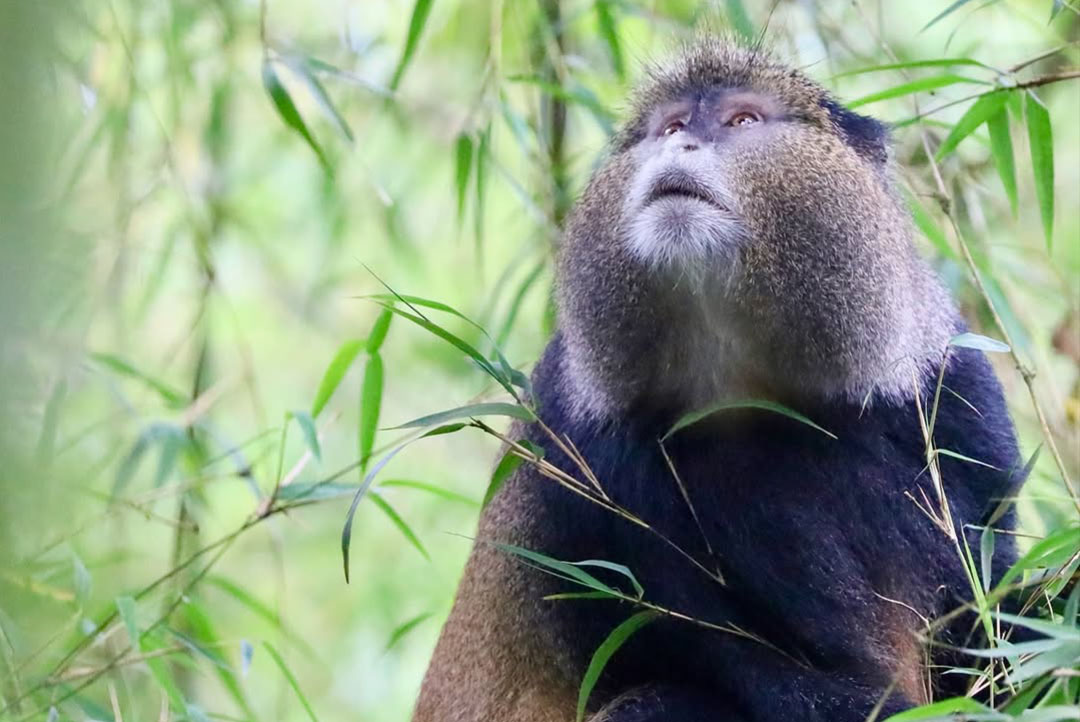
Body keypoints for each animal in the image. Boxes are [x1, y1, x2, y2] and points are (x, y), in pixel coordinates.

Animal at [413, 37, 1023, 722]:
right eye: (672, 126)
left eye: (742, 120)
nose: (679, 145)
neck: (741, 378)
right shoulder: (579, 449)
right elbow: (746, 663)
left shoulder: (951, 386)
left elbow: (997, 603)